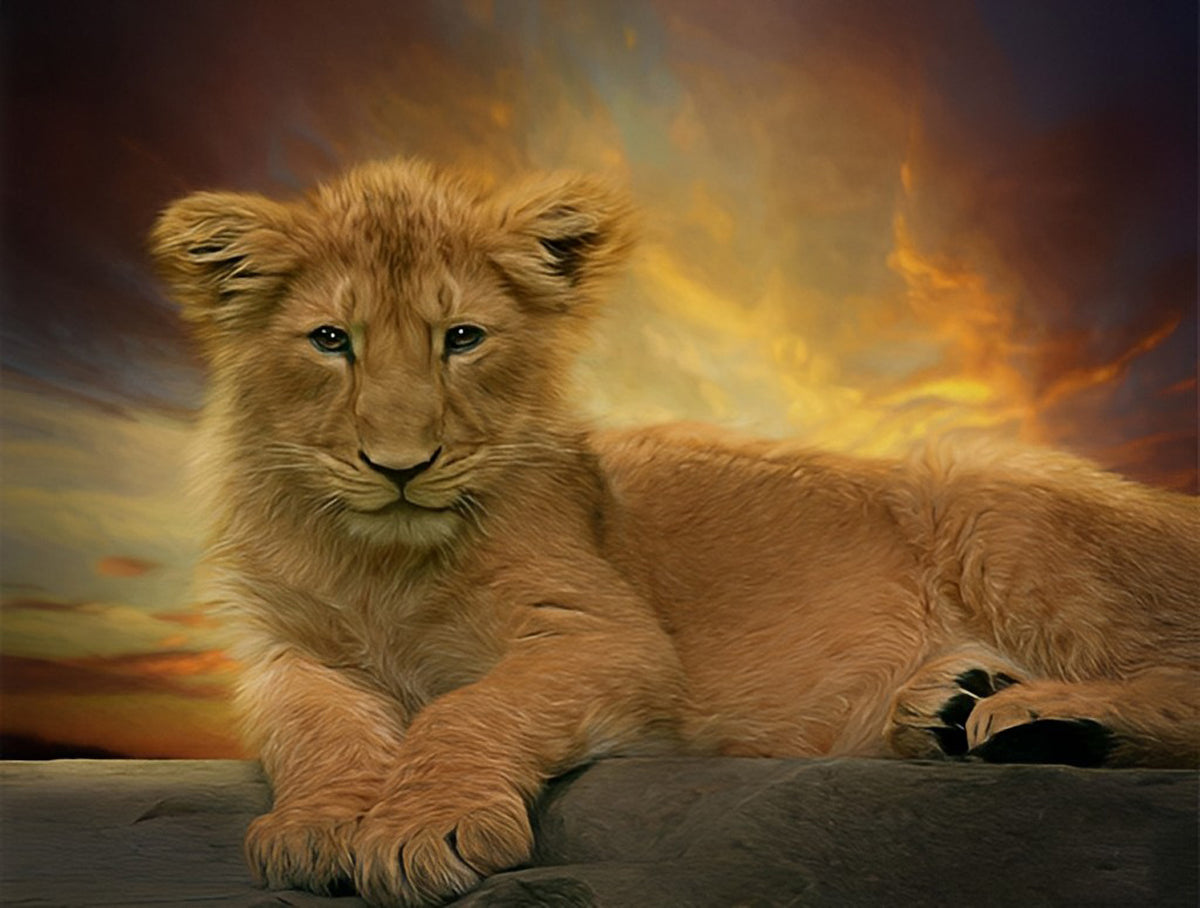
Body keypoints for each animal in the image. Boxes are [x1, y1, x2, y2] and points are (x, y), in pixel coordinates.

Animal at [150, 158, 1199, 907]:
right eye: (333, 340)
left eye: (463, 338)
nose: (400, 464)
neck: (379, 562)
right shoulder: (278, 647)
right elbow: (314, 724)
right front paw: (318, 826)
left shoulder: (609, 635)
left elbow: (471, 708)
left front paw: (418, 830)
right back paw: (950, 703)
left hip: (989, 497)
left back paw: (1041, 720)